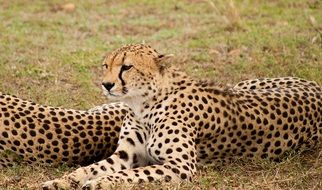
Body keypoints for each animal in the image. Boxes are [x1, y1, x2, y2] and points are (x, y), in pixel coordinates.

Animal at [42, 43, 322, 189]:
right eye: (106, 65)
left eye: (127, 67)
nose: (106, 85)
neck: (143, 105)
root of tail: (313, 84)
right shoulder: (124, 156)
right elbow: (90, 167)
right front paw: (63, 180)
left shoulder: (181, 166)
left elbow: (129, 174)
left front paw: (102, 182)